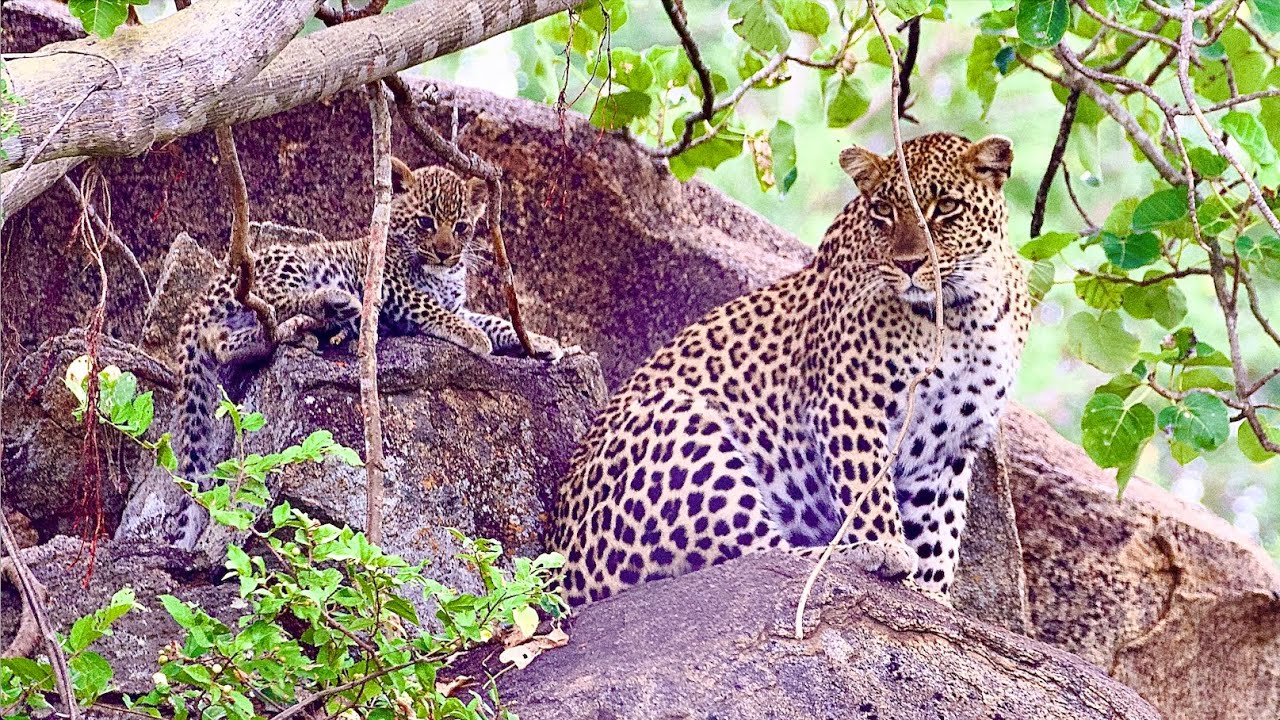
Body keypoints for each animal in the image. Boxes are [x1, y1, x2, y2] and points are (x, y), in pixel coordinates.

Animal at [146, 160, 563, 551]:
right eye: (425, 222)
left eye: (461, 226)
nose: (446, 254)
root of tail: (204, 293)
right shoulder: (394, 290)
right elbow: (434, 309)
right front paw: (473, 336)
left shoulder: (457, 303)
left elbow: (493, 319)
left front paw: (542, 342)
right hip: (286, 265)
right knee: (263, 311)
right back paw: (333, 306)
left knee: (226, 338)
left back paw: (310, 330)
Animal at [552, 132, 1030, 608]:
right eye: (883, 211)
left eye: (946, 207)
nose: (909, 264)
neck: (965, 313)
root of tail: (559, 566)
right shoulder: (849, 403)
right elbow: (869, 492)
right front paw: (891, 549)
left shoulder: (951, 444)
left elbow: (939, 529)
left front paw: (932, 594)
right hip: (678, 425)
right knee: (758, 554)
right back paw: (859, 553)